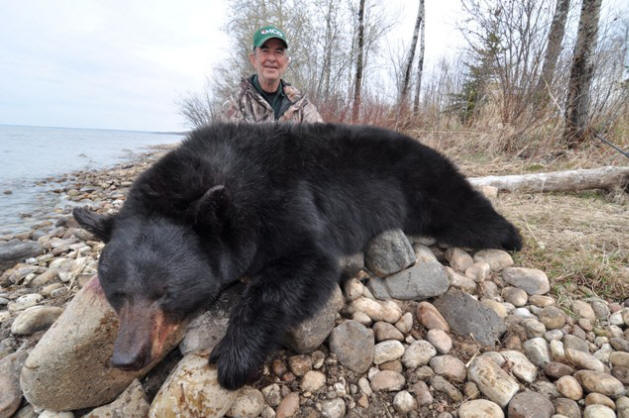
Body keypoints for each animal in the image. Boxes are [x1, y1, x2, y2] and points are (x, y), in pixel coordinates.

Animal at [73, 122, 521, 390]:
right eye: (117, 294)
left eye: (166, 293)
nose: (127, 358)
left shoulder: (284, 200)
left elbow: (302, 267)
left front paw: (234, 357)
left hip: (427, 181)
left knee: (466, 211)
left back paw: (512, 237)